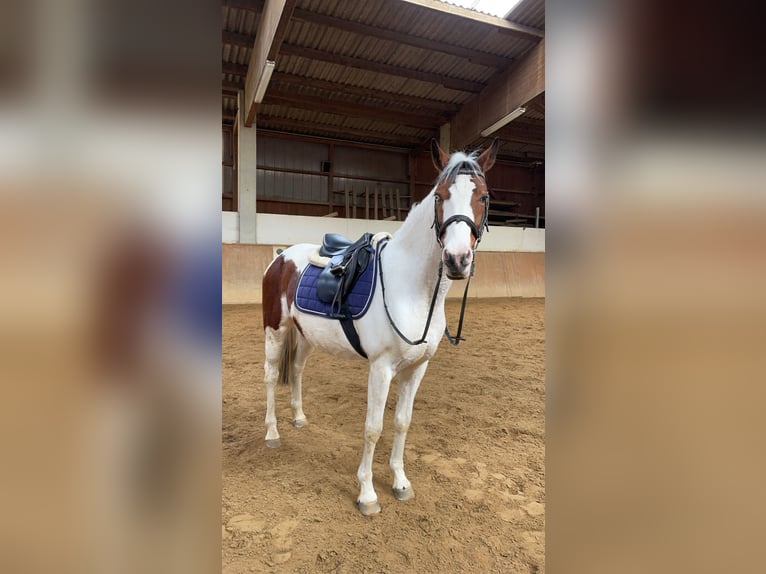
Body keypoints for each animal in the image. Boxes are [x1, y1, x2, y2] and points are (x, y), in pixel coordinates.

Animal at [260, 141, 500, 516]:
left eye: (484, 196)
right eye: (440, 195)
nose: (457, 260)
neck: (410, 286)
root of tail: (281, 257)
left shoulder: (417, 368)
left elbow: (402, 421)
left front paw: (400, 482)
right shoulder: (381, 368)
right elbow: (373, 428)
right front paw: (368, 494)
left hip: (306, 336)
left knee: (296, 370)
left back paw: (299, 417)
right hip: (275, 329)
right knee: (271, 376)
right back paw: (272, 434)